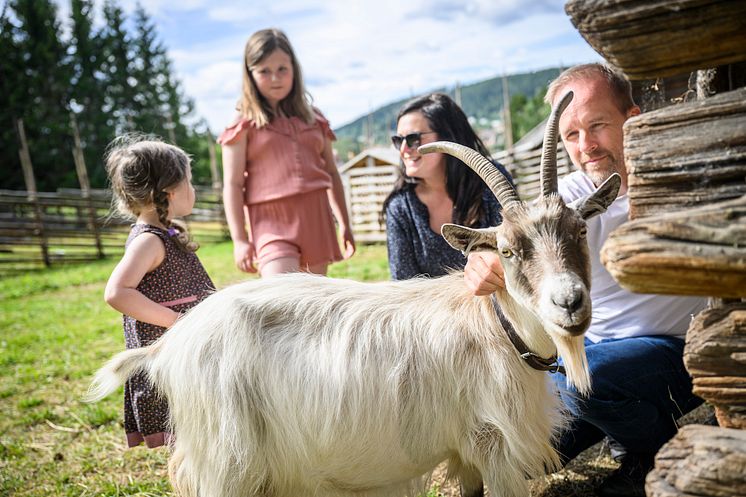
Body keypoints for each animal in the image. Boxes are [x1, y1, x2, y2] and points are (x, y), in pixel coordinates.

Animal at [87, 90, 620, 496]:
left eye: (579, 230)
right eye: (507, 251)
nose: (569, 302)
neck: (498, 330)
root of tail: (172, 342)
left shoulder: (467, 451)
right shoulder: (496, 446)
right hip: (227, 460)